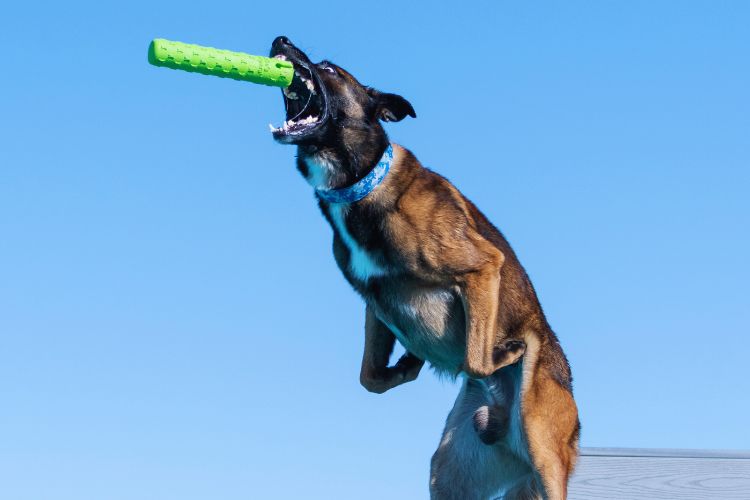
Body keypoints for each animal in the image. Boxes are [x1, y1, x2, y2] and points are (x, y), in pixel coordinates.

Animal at [270, 36, 580, 500]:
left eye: (328, 67)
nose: (281, 40)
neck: (362, 183)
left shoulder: (483, 266)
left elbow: (475, 359)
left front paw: (502, 351)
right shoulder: (375, 302)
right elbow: (369, 376)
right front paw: (407, 364)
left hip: (543, 450)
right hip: (449, 472)